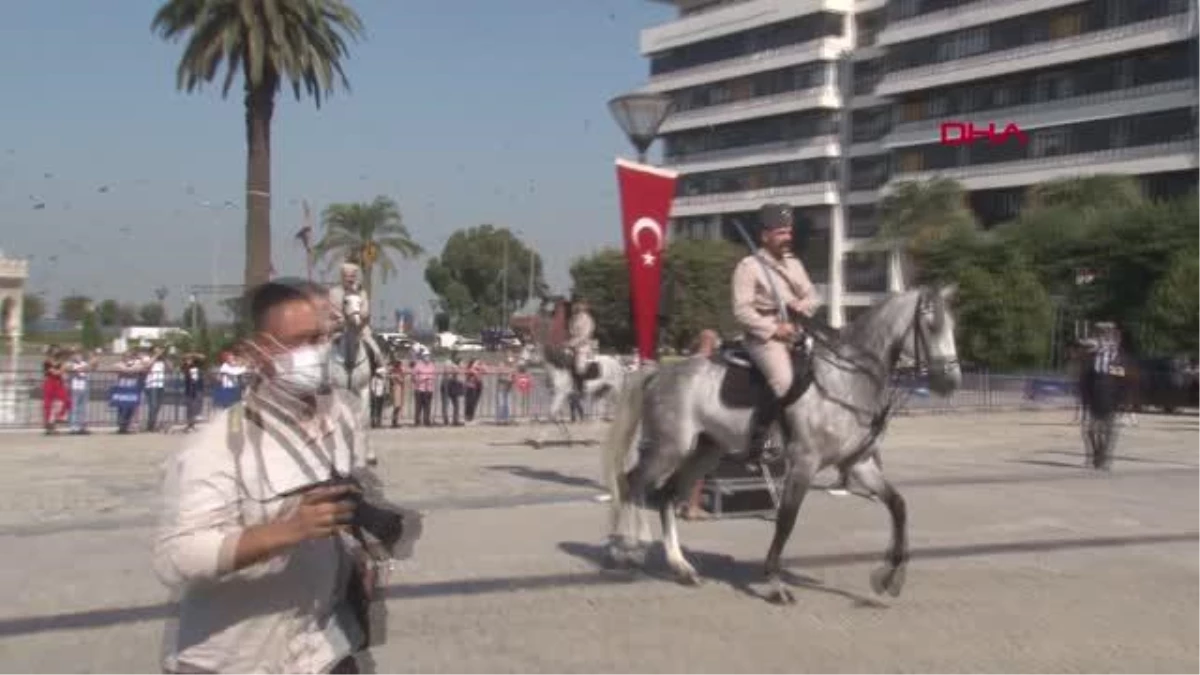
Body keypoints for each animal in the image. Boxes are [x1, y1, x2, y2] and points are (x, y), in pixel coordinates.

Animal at [604, 285, 960, 600]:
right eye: (931, 325)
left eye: (953, 325)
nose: (951, 381)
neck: (846, 380)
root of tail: (659, 372)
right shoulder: (804, 462)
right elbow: (787, 519)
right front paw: (775, 583)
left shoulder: (858, 463)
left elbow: (898, 506)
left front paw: (889, 577)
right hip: (669, 449)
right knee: (631, 483)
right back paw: (624, 550)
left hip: (704, 452)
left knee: (664, 495)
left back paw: (680, 567)